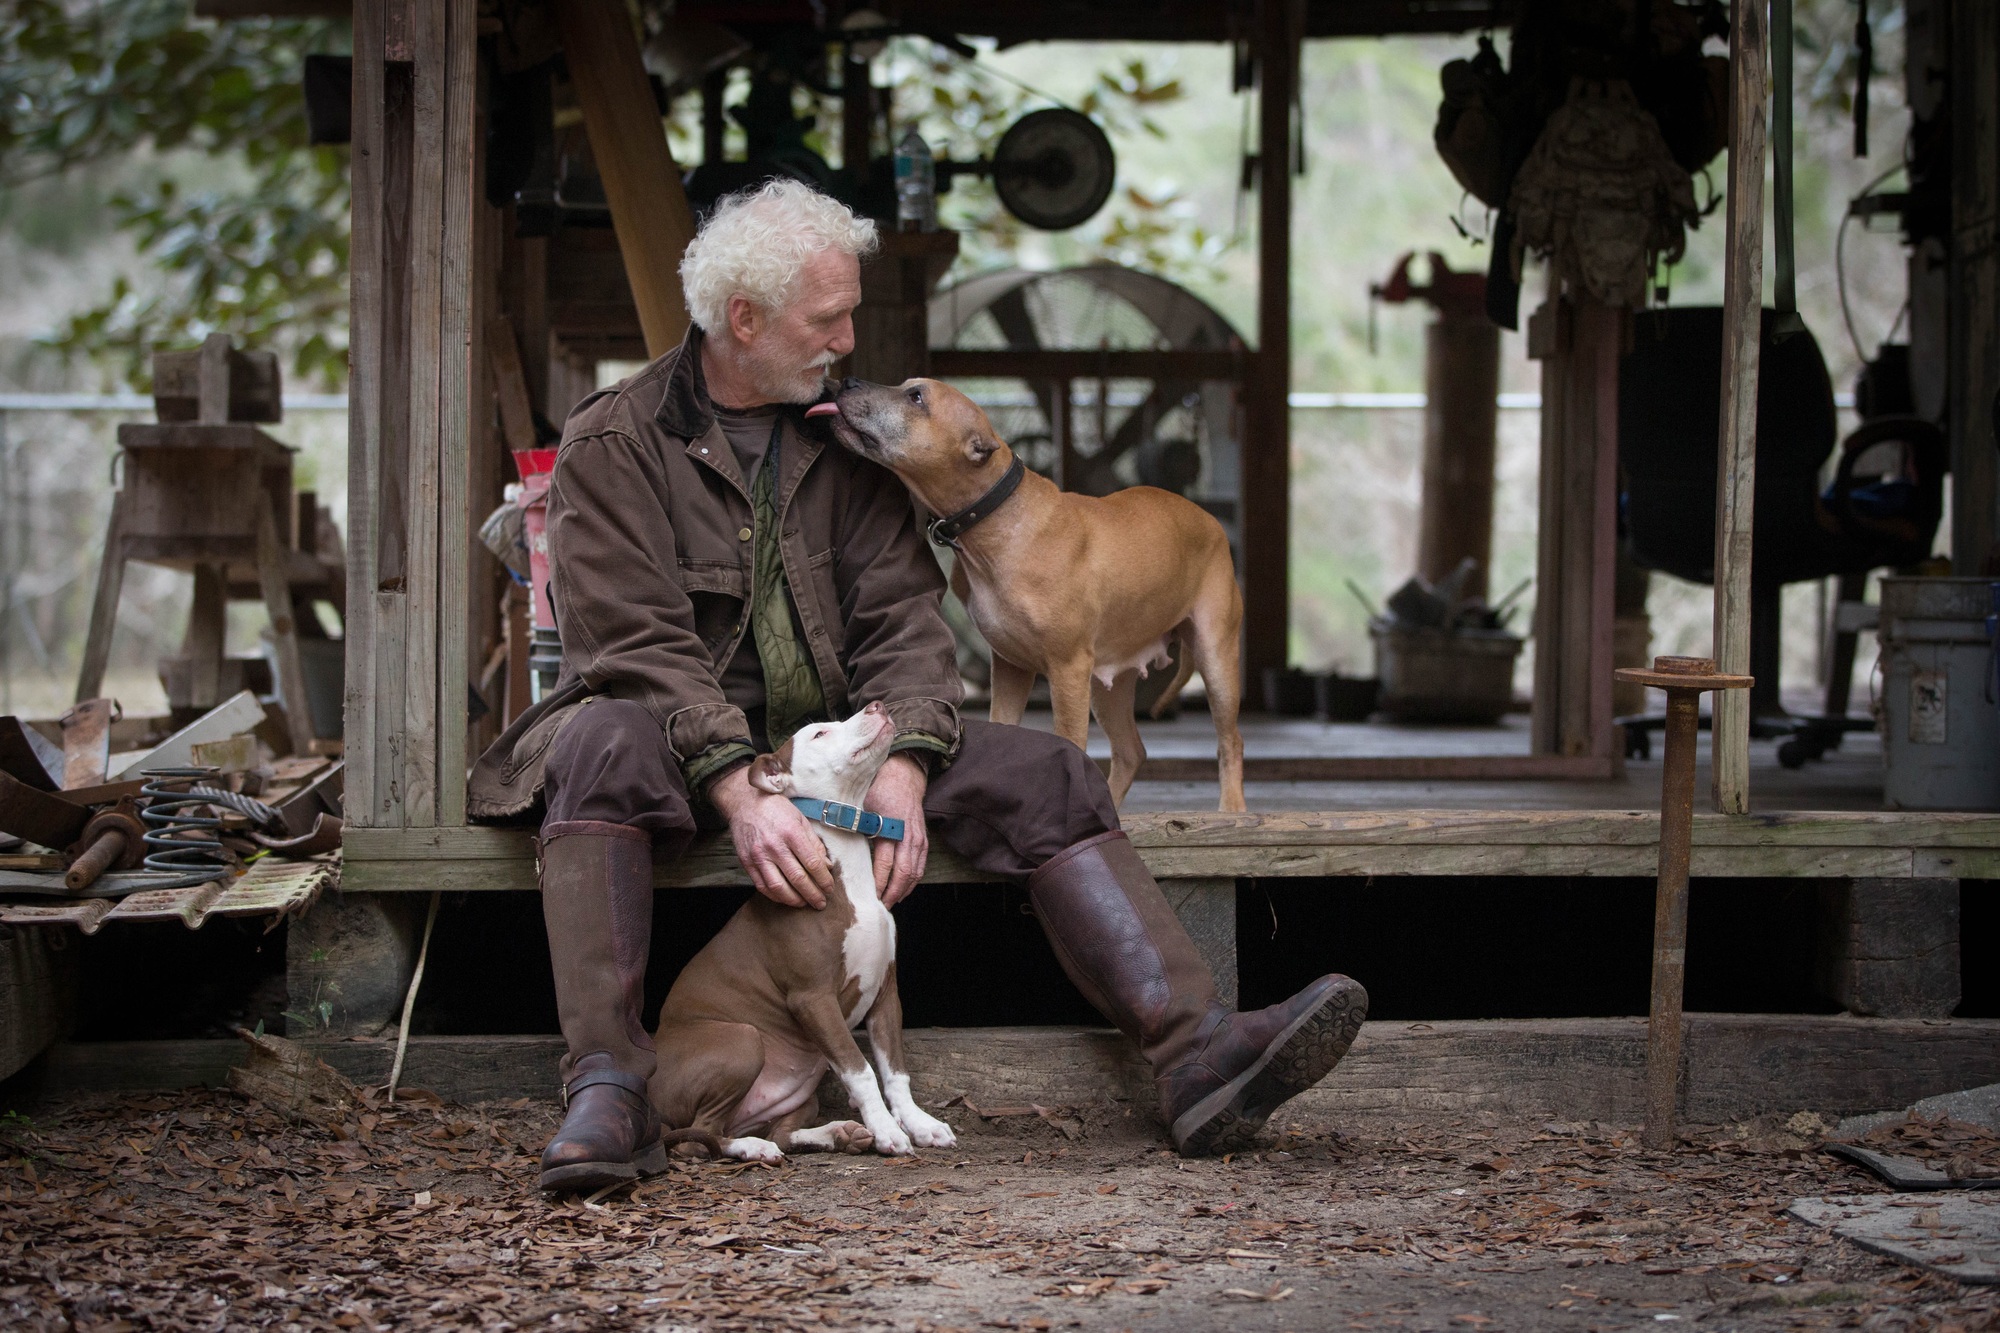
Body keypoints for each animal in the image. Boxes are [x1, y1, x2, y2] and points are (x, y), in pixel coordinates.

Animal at [640, 700, 952, 1160]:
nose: (877, 705)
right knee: (701, 1137)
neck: (847, 869)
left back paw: (837, 1133)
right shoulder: (813, 999)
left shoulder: (884, 994)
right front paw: (886, 1131)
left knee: (779, 1132)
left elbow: (895, 1071)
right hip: (743, 1041)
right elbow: (860, 1070)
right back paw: (752, 1147)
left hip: (801, 1095)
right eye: (819, 735)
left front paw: (919, 1124)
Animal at [804, 376, 1240, 808]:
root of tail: (1209, 520)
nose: (849, 381)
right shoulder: (1011, 667)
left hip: (1214, 659)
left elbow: (1071, 743)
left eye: (916, 397)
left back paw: (1232, 809)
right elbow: (1003, 723)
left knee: (1230, 742)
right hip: (1109, 682)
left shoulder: (1068, 669)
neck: (995, 519)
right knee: (1132, 751)